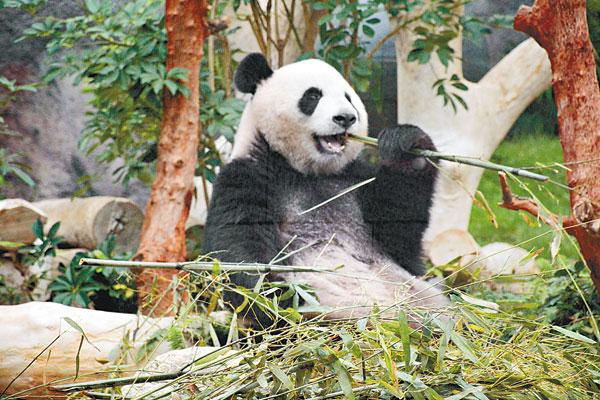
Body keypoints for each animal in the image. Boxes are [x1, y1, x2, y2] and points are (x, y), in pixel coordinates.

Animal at [204, 52, 448, 324]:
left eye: (348, 98)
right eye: (312, 96)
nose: (346, 118)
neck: (309, 171)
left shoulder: (353, 180)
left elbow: (399, 229)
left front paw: (408, 147)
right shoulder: (248, 176)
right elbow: (238, 245)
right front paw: (279, 291)